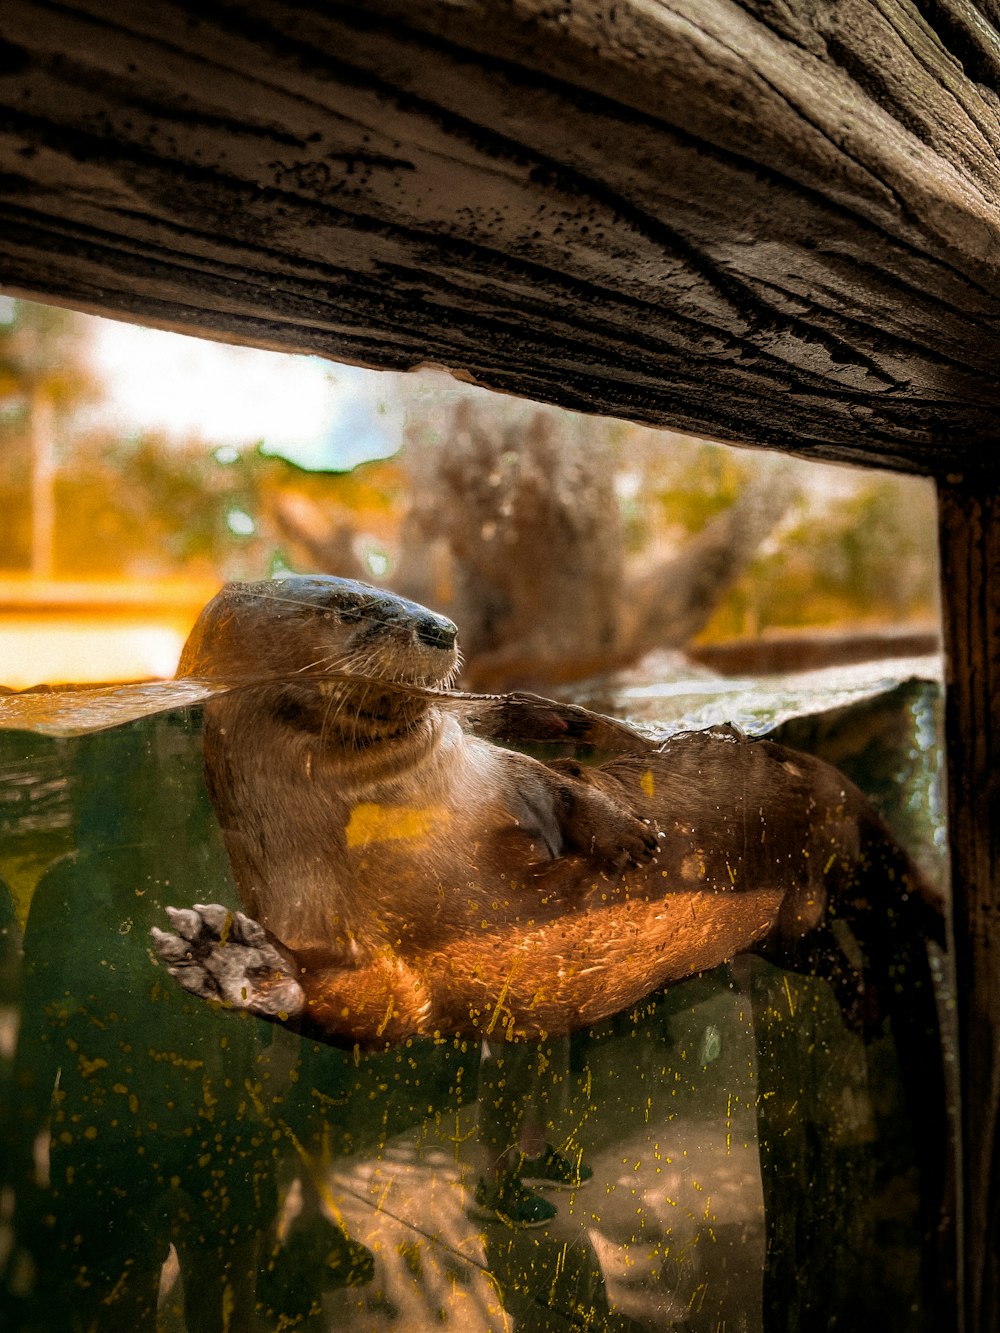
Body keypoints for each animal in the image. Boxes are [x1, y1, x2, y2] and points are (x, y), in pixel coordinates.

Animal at [152, 573, 944, 1050]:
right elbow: (365, 1008)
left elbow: (561, 781)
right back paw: (864, 1005)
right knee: (823, 949)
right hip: (787, 927)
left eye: (393, 589)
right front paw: (233, 958)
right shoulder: (326, 931)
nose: (441, 626)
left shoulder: (494, 773)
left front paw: (629, 838)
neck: (390, 833)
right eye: (347, 608)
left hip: (843, 826)